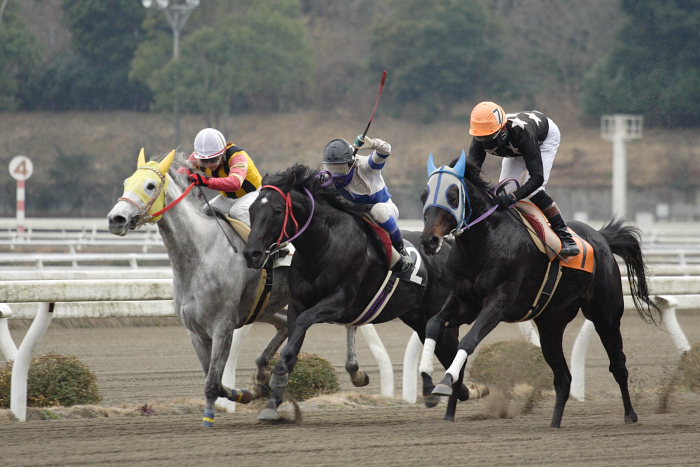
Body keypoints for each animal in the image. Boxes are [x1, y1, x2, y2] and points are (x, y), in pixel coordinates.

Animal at [245, 164, 470, 420]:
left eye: (277, 210)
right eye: (251, 209)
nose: (252, 254)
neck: (324, 244)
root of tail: (446, 245)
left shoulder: (339, 302)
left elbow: (303, 323)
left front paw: (277, 376)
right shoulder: (297, 303)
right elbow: (293, 344)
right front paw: (272, 402)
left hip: (442, 316)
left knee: (454, 352)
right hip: (418, 318)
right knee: (441, 349)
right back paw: (439, 391)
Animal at [422, 153, 660, 428]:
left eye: (453, 195)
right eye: (424, 194)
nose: (428, 240)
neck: (483, 243)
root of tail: (601, 237)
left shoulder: (498, 303)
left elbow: (469, 340)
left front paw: (445, 382)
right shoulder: (463, 302)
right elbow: (432, 324)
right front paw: (427, 380)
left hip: (605, 315)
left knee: (618, 365)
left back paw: (630, 414)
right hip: (551, 323)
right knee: (563, 377)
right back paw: (555, 423)